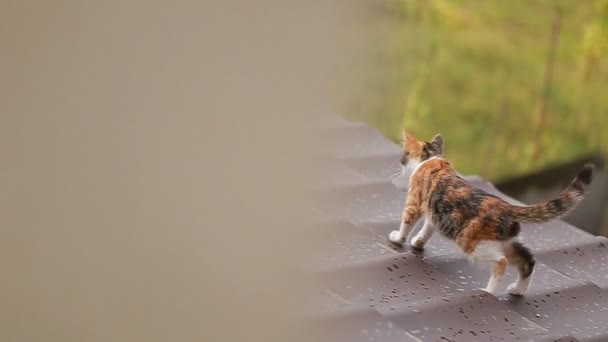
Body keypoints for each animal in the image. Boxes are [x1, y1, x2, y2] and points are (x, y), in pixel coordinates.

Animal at [390, 130, 592, 296]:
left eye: (403, 157)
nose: (400, 165)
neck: (432, 158)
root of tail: (508, 207)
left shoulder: (415, 203)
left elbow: (408, 221)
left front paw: (398, 239)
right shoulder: (435, 213)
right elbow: (428, 228)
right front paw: (418, 242)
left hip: (471, 241)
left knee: (502, 262)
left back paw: (488, 292)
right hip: (504, 241)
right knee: (528, 260)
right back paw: (518, 290)